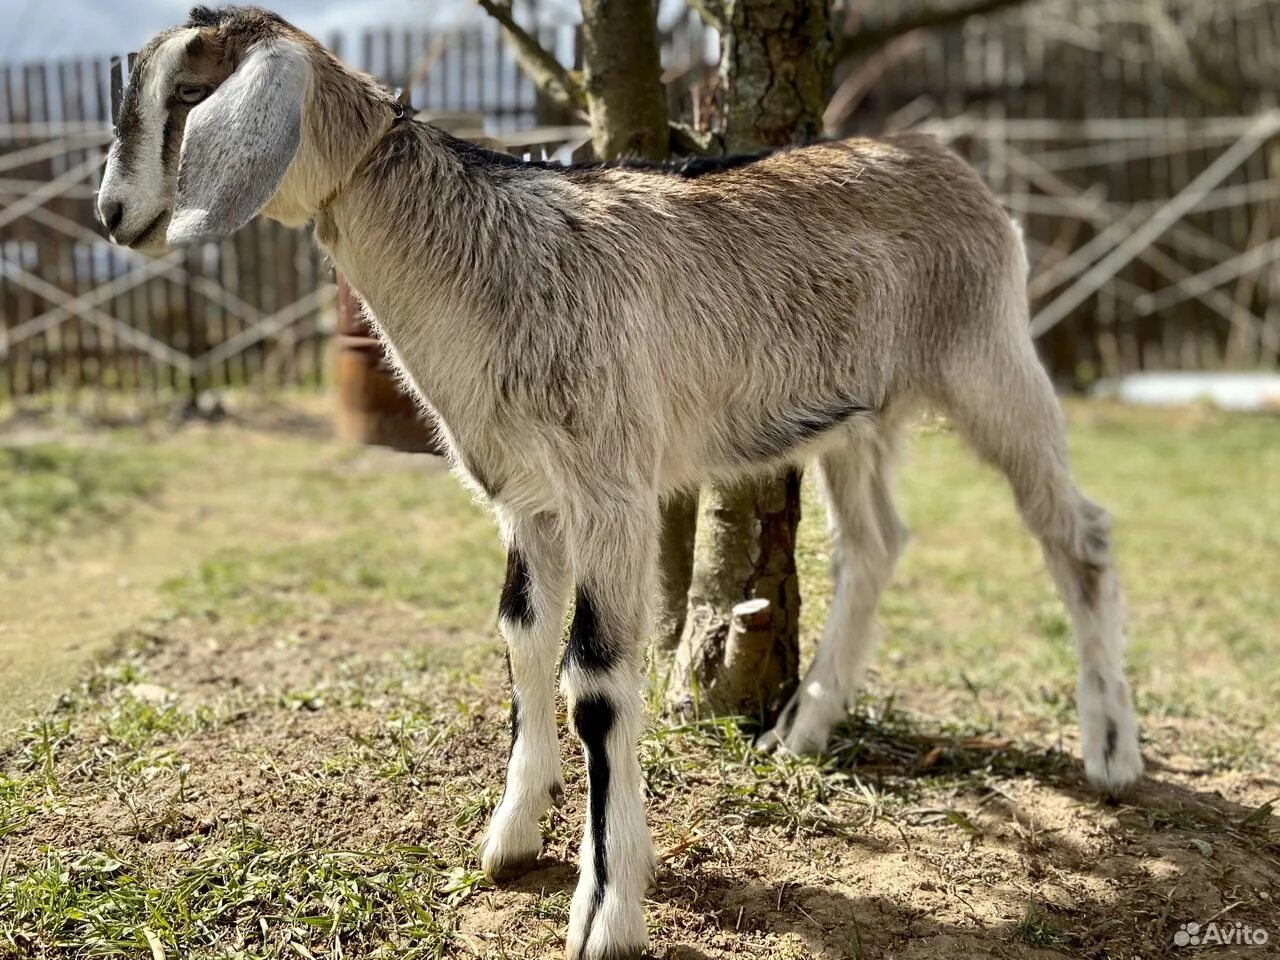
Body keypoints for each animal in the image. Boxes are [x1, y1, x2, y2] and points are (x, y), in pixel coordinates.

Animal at [94, 9, 1146, 960]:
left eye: (189, 94)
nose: (110, 216)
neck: (479, 258)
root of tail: (955, 167)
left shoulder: (611, 487)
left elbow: (594, 679)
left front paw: (607, 912)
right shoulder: (526, 495)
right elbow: (521, 639)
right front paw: (513, 835)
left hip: (988, 358)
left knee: (1082, 533)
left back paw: (1111, 752)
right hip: (853, 415)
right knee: (875, 542)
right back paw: (800, 731)